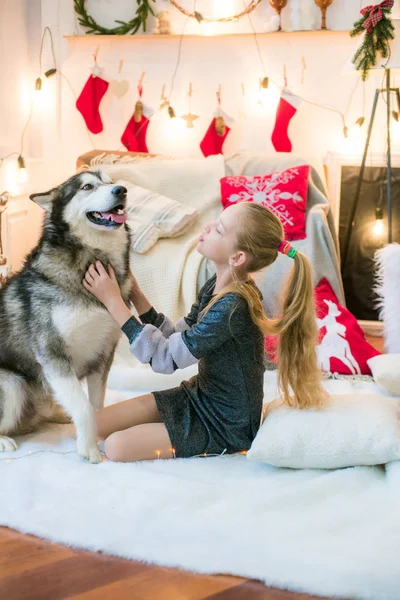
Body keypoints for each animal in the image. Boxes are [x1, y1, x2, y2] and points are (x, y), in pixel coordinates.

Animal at [0, 171, 132, 462]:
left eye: (110, 181)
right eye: (87, 186)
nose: (122, 190)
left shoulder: (102, 354)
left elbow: (95, 405)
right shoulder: (53, 356)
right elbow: (83, 407)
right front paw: (90, 449)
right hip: (12, 384)